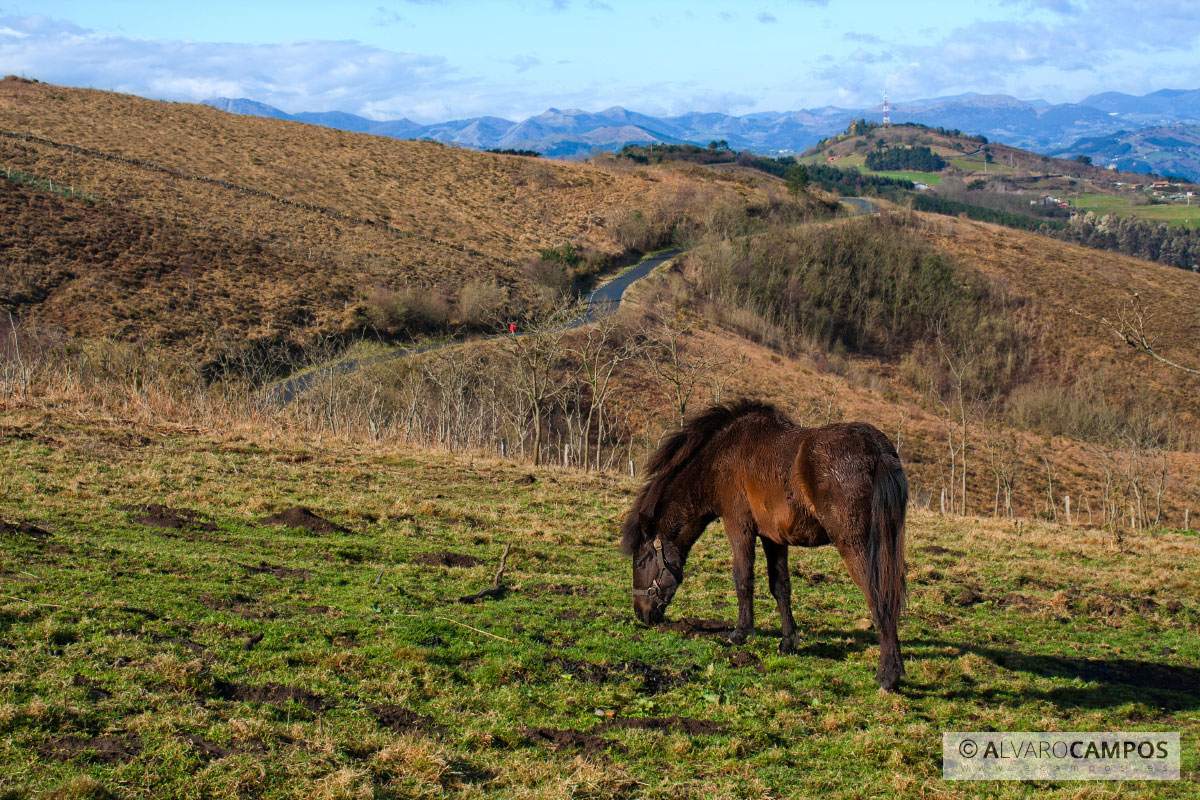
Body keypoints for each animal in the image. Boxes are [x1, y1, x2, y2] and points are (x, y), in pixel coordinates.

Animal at [619, 400, 907, 695]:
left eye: (640, 561)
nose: (640, 613)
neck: (722, 455)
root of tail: (877, 449)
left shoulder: (738, 526)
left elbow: (743, 579)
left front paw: (741, 633)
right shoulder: (774, 538)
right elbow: (780, 587)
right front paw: (788, 641)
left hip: (855, 545)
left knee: (880, 598)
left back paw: (888, 675)